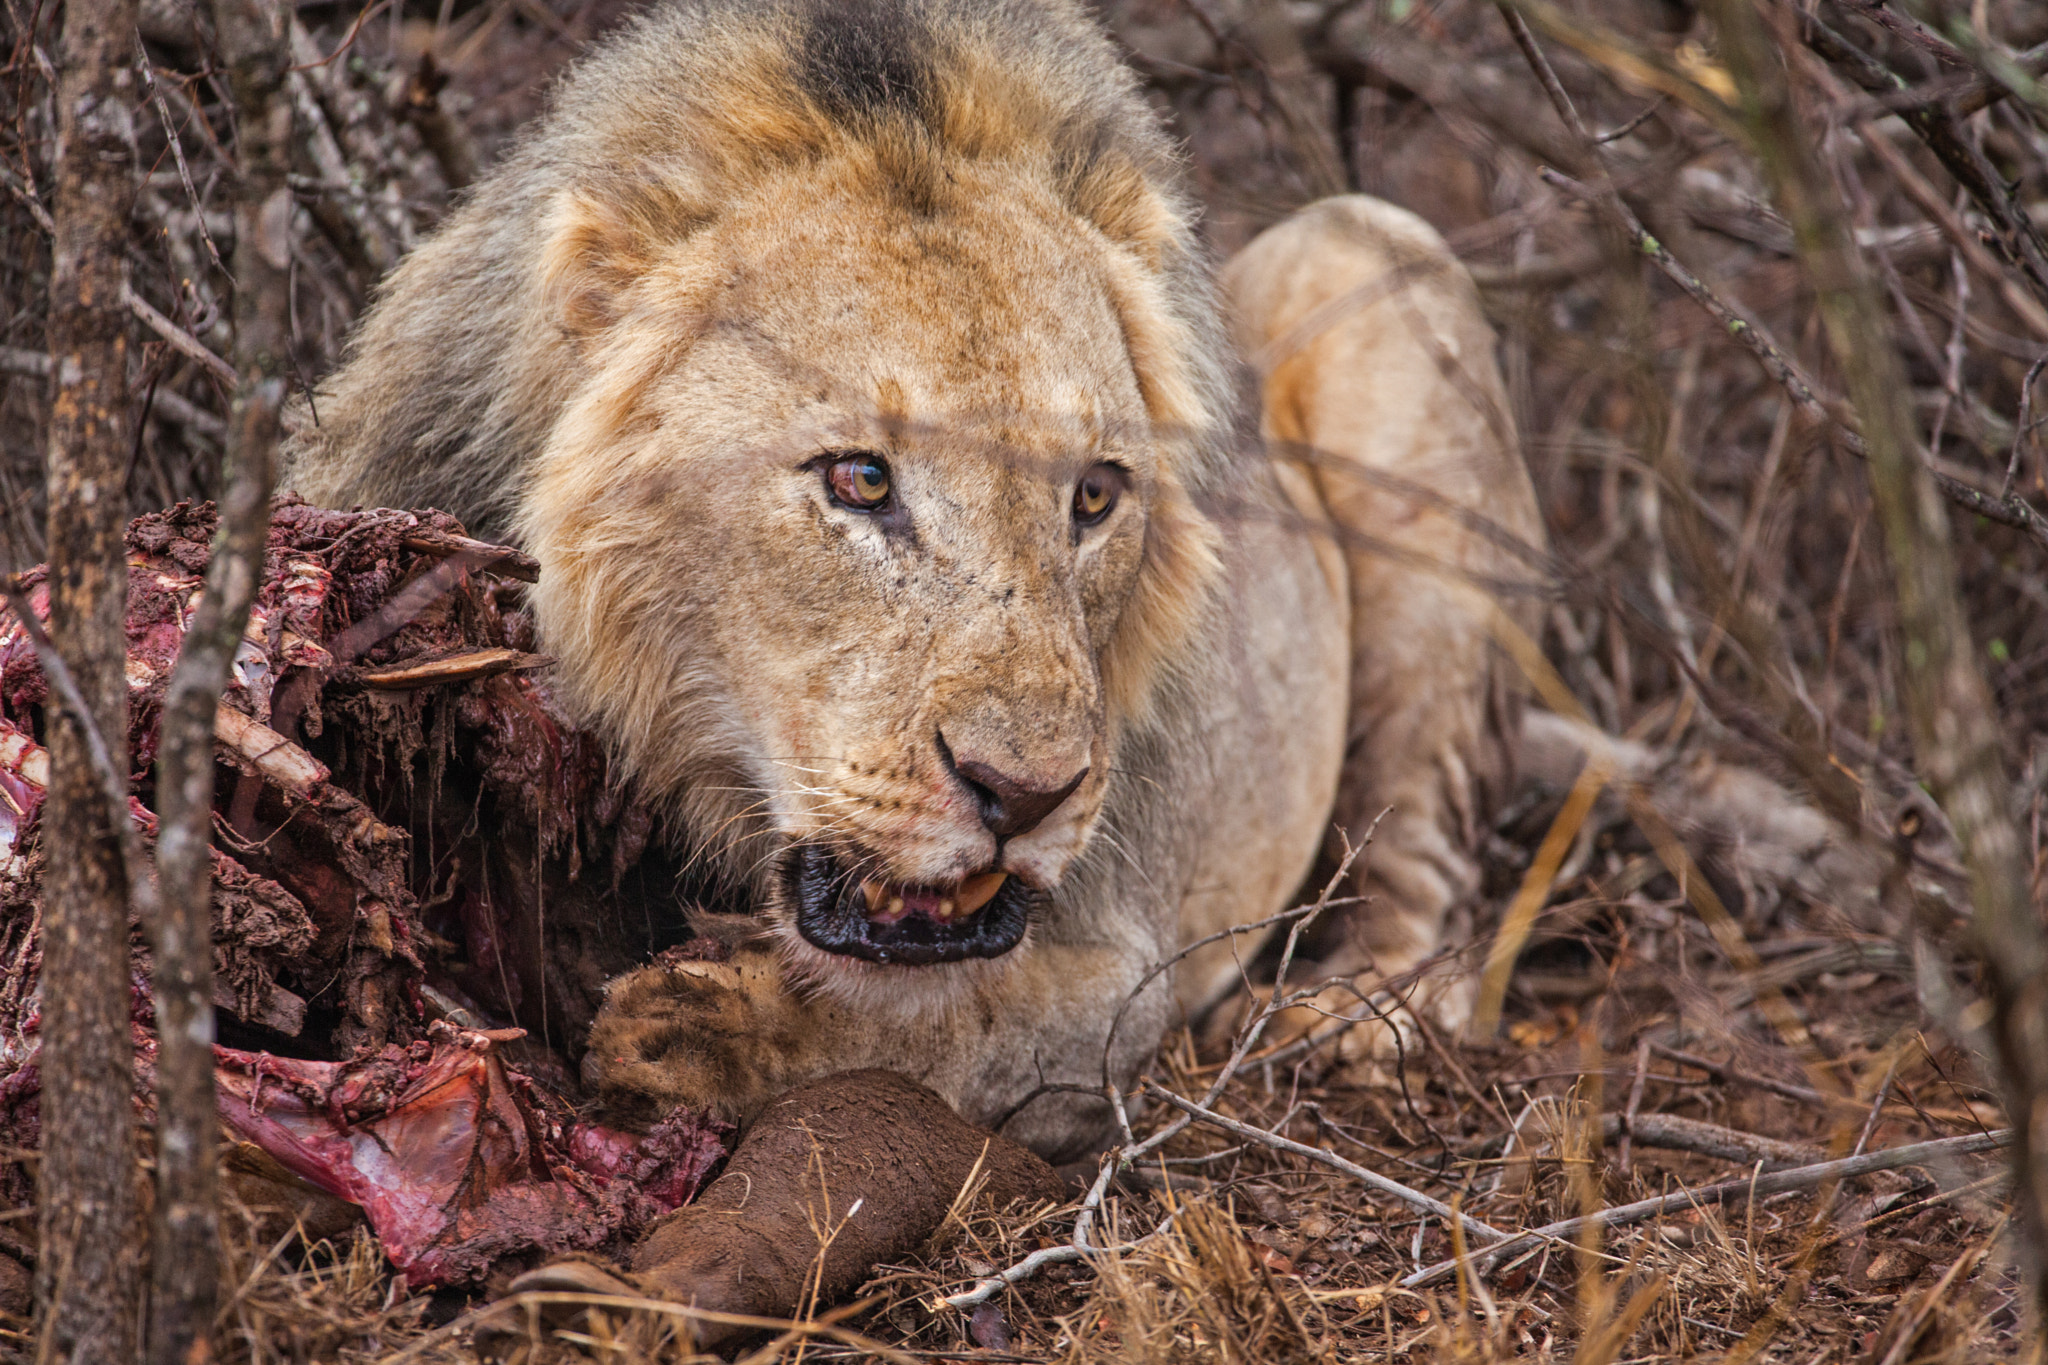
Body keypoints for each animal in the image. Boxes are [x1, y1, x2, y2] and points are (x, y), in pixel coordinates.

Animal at [285, 0, 1544, 1162]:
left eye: (1094, 495)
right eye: (859, 479)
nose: (1024, 797)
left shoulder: (1120, 980)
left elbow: (928, 1026)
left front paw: (688, 1032)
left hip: (1375, 247)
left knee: (1428, 860)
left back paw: (1354, 1018)